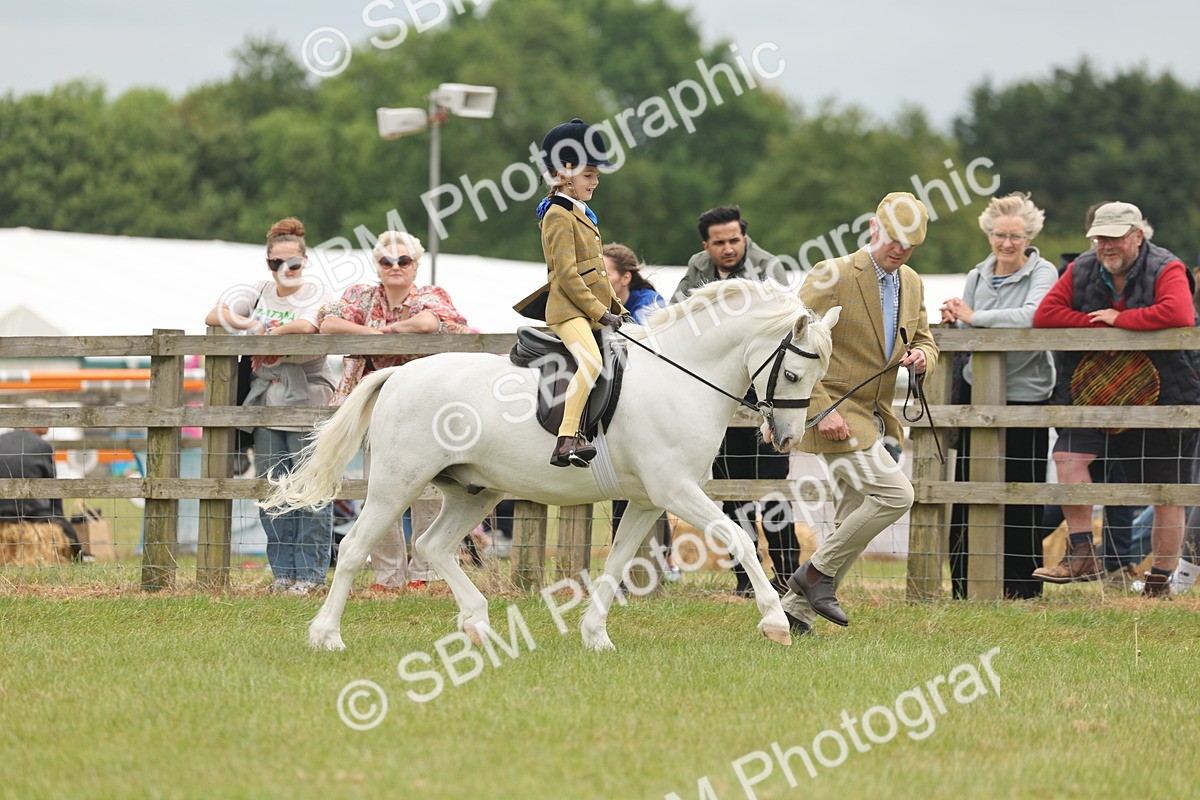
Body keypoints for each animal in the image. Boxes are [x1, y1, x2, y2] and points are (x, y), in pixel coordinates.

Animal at [262, 279, 839, 652]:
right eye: (792, 374)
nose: (787, 438)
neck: (681, 376)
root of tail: (399, 375)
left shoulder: (648, 500)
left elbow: (616, 562)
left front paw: (596, 636)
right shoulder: (675, 491)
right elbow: (739, 538)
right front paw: (775, 622)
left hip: (474, 491)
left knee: (433, 545)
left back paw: (478, 626)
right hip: (395, 485)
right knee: (355, 549)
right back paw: (327, 636)